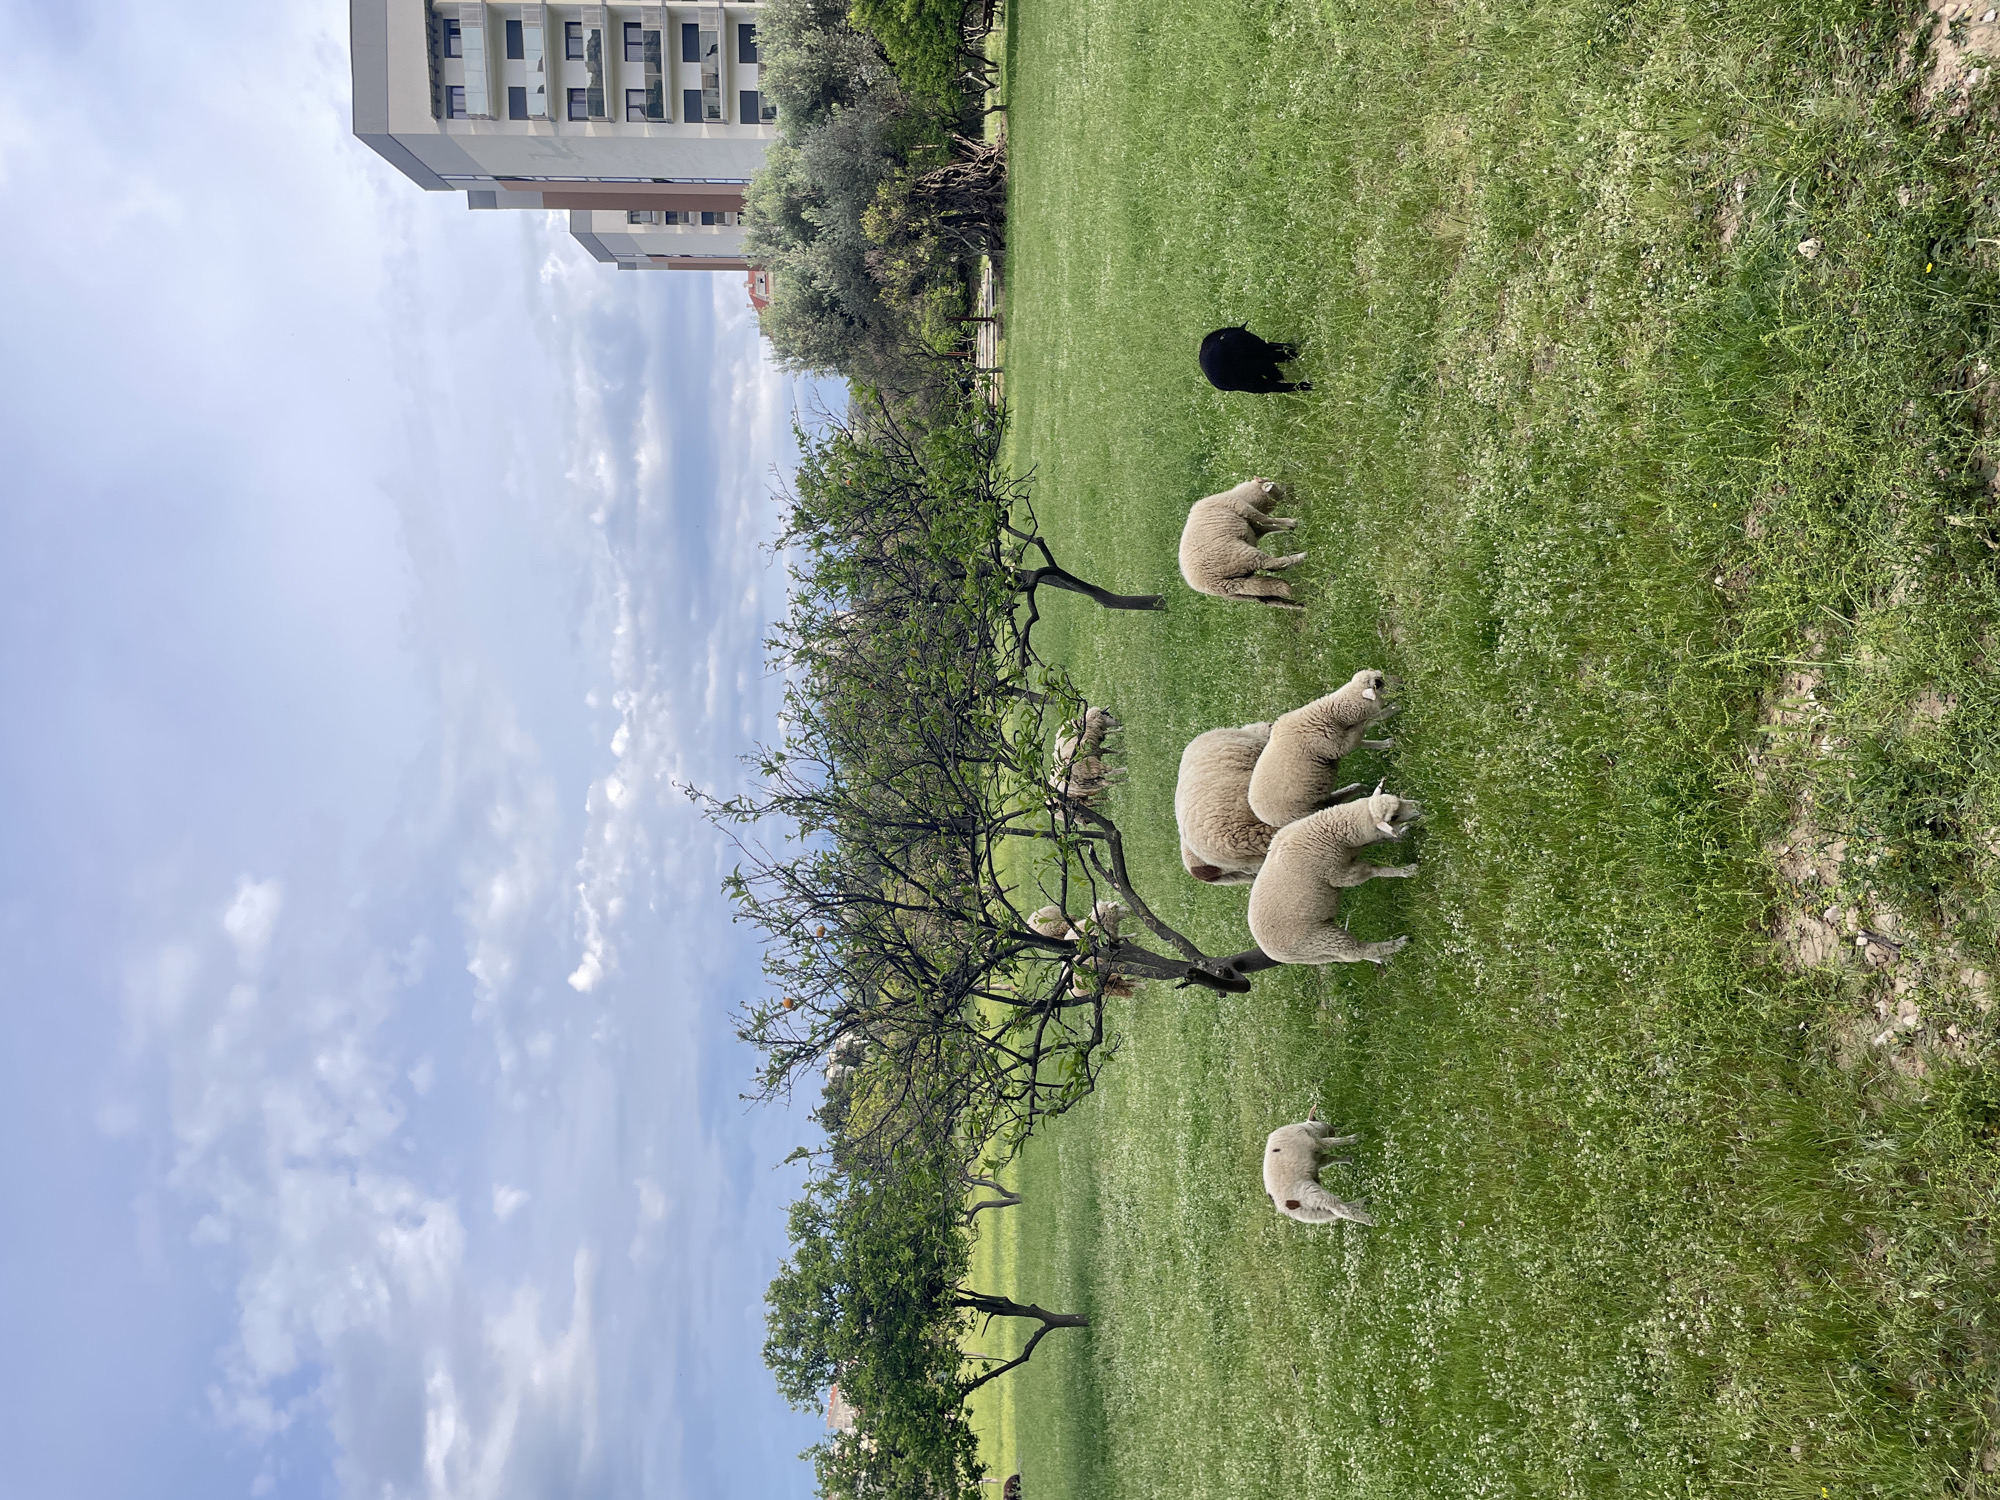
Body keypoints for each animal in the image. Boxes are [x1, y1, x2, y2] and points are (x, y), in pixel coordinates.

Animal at [1178, 478, 1307, 609]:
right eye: (1274, 486)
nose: (1287, 489)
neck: (1241, 496)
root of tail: (1211, 584)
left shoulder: (1256, 529)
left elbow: (1272, 528)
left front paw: (1291, 528)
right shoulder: (1246, 509)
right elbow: (1267, 519)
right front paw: (1293, 522)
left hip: (1240, 590)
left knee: (1270, 597)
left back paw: (1299, 605)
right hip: (1242, 555)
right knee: (1272, 563)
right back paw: (1301, 556)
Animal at [1245, 789, 1420, 966]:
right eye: (1393, 817)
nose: (1419, 806)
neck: (1331, 830)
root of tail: (1271, 953)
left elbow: (1383, 839)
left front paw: (1403, 834)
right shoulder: (1339, 874)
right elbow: (1374, 870)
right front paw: (1406, 871)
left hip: (1320, 951)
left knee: (1351, 956)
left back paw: (1380, 958)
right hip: (1321, 939)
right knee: (1356, 951)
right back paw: (1395, 945)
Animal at [1246, 670, 1400, 829]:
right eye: (1378, 683)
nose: (1400, 680)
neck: (1326, 715)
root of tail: (1262, 816)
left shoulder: (1341, 742)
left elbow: (1362, 738)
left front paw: (1387, 743)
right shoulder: (1339, 746)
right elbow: (1368, 723)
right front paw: (1394, 708)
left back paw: (1362, 788)